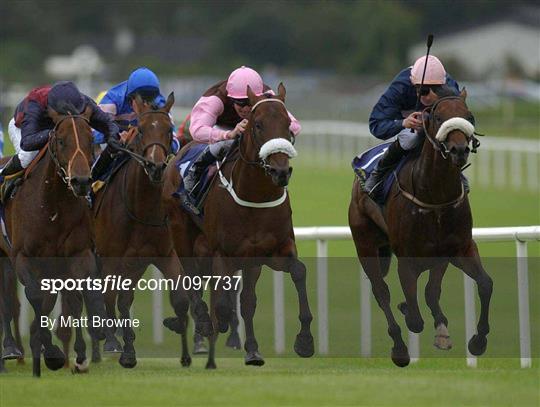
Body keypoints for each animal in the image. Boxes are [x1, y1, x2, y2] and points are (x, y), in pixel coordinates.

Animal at [0, 107, 106, 378]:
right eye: (60, 141)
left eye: (90, 139)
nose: (81, 181)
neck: (52, 204)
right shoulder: (23, 258)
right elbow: (36, 298)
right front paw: (52, 352)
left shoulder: (78, 255)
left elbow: (74, 298)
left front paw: (79, 357)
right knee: (8, 303)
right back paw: (10, 350)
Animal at [92, 93, 206, 370]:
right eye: (141, 130)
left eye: (169, 130)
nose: (155, 166)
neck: (141, 208)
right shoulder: (112, 259)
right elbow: (110, 298)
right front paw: (117, 345)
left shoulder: (163, 254)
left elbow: (180, 297)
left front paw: (183, 350)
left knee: (123, 298)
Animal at [165, 83, 314, 370]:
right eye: (257, 124)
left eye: (288, 124)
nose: (280, 171)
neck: (255, 196)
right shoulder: (223, 253)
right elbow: (222, 302)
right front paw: (217, 324)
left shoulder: (270, 251)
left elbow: (296, 273)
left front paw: (303, 341)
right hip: (182, 236)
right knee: (193, 281)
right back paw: (204, 324)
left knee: (243, 300)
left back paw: (248, 349)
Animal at [348, 90, 492, 370]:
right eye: (438, 117)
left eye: (469, 116)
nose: (459, 150)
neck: (435, 196)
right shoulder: (408, 257)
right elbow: (414, 316)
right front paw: (407, 312)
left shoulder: (457, 248)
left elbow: (483, 284)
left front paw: (477, 341)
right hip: (365, 244)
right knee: (381, 291)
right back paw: (400, 348)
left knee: (430, 292)